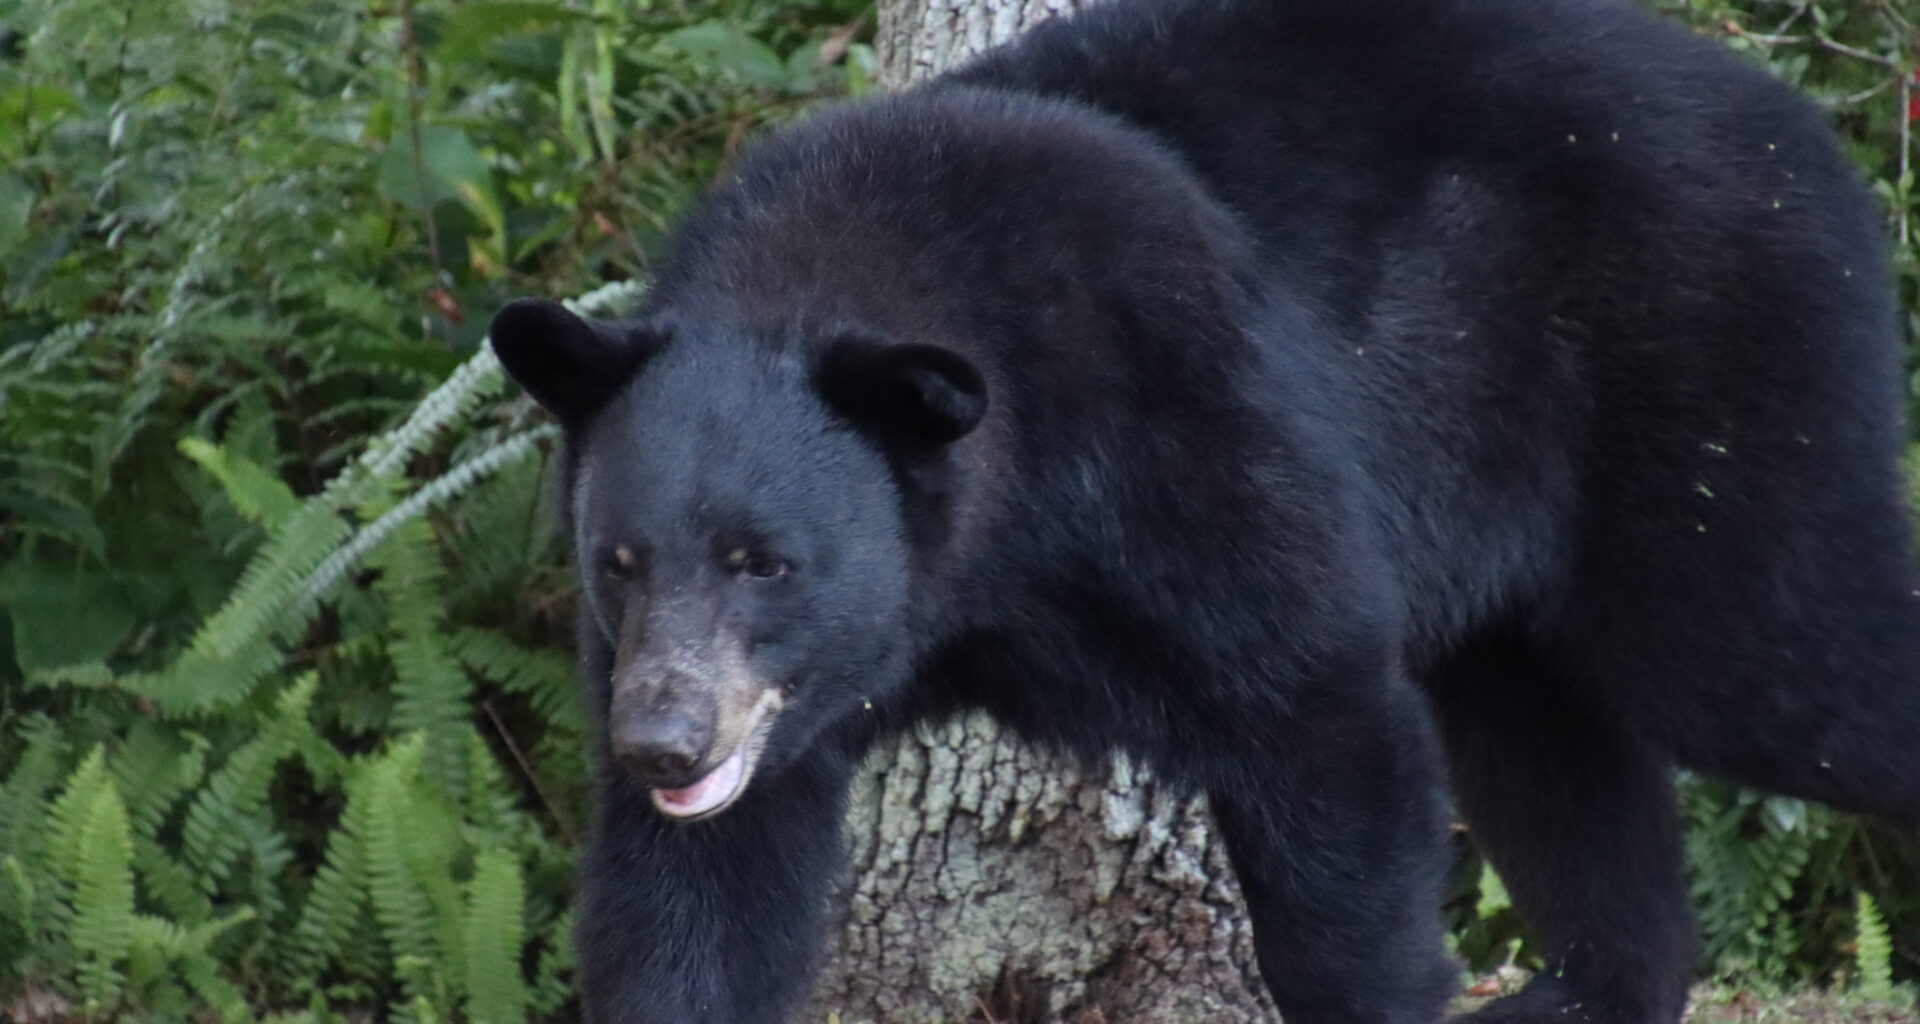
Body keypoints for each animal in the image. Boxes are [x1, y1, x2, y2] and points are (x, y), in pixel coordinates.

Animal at [485, 0, 1920, 1021]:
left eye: (764, 559)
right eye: (620, 559)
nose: (659, 741)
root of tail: (1801, 128)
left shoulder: (1185, 415)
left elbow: (1316, 708)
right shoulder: (753, 721)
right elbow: (698, 899)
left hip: (1701, 373)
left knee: (1776, 651)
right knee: (1544, 740)